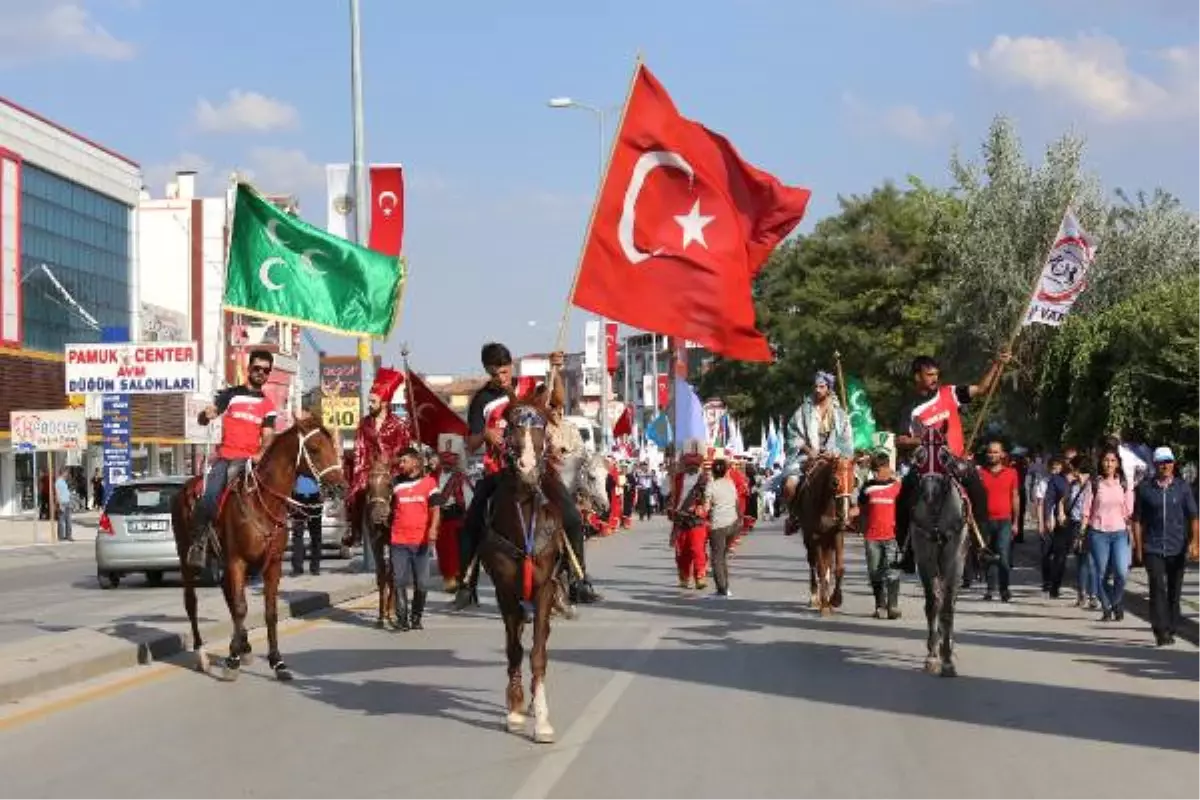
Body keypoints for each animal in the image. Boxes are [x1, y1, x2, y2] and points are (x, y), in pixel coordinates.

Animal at [171, 417, 348, 686]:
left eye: (333, 446)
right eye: (315, 448)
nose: (340, 486)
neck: (263, 502)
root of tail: (185, 487)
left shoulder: (272, 564)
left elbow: (269, 611)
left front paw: (277, 662)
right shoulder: (237, 561)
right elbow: (241, 608)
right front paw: (231, 661)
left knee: (228, 595)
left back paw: (243, 647)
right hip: (187, 557)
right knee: (192, 603)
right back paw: (203, 654)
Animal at [792, 453, 859, 618]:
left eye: (854, 482)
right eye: (835, 482)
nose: (845, 516)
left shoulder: (837, 535)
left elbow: (838, 568)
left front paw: (835, 600)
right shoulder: (815, 538)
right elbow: (821, 569)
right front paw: (824, 605)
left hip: (827, 542)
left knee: (828, 563)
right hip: (809, 539)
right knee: (813, 564)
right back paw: (815, 597)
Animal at [907, 460, 974, 681]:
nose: (928, 493)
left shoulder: (954, 561)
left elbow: (947, 609)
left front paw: (947, 660)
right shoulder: (924, 559)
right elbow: (933, 604)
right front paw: (933, 655)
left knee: (949, 601)